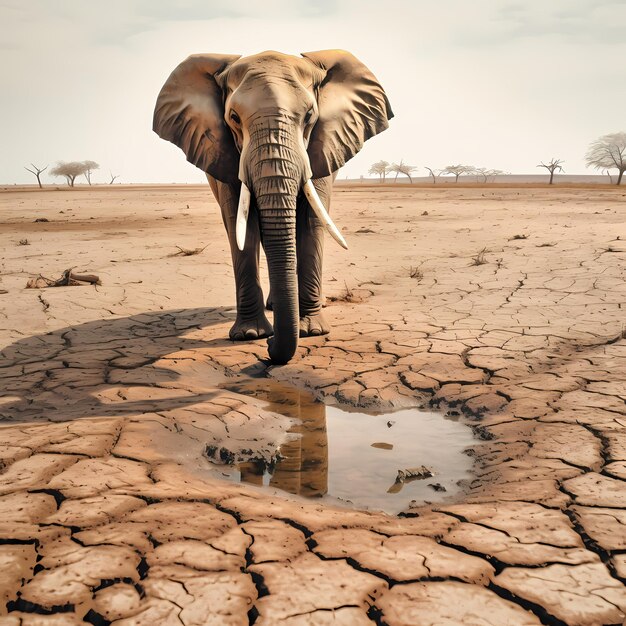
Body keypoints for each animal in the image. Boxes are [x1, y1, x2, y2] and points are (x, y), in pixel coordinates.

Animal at [154, 51, 392, 364]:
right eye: (233, 117)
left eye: (310, 116)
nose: (268, 348)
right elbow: (241, 225)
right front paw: (251, 334)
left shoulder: (321, 147)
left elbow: (311, 222)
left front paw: (311, 331)